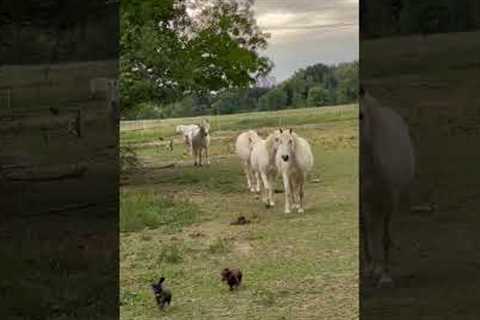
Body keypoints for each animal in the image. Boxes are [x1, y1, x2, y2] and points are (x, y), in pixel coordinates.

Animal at [360, 87, 416, 288]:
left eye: (361, 115)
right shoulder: (362, 198)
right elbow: (365, 230)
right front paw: (371, 268)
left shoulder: (391, 199)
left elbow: (385, 238)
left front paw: (385, 276)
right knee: (369, 227)